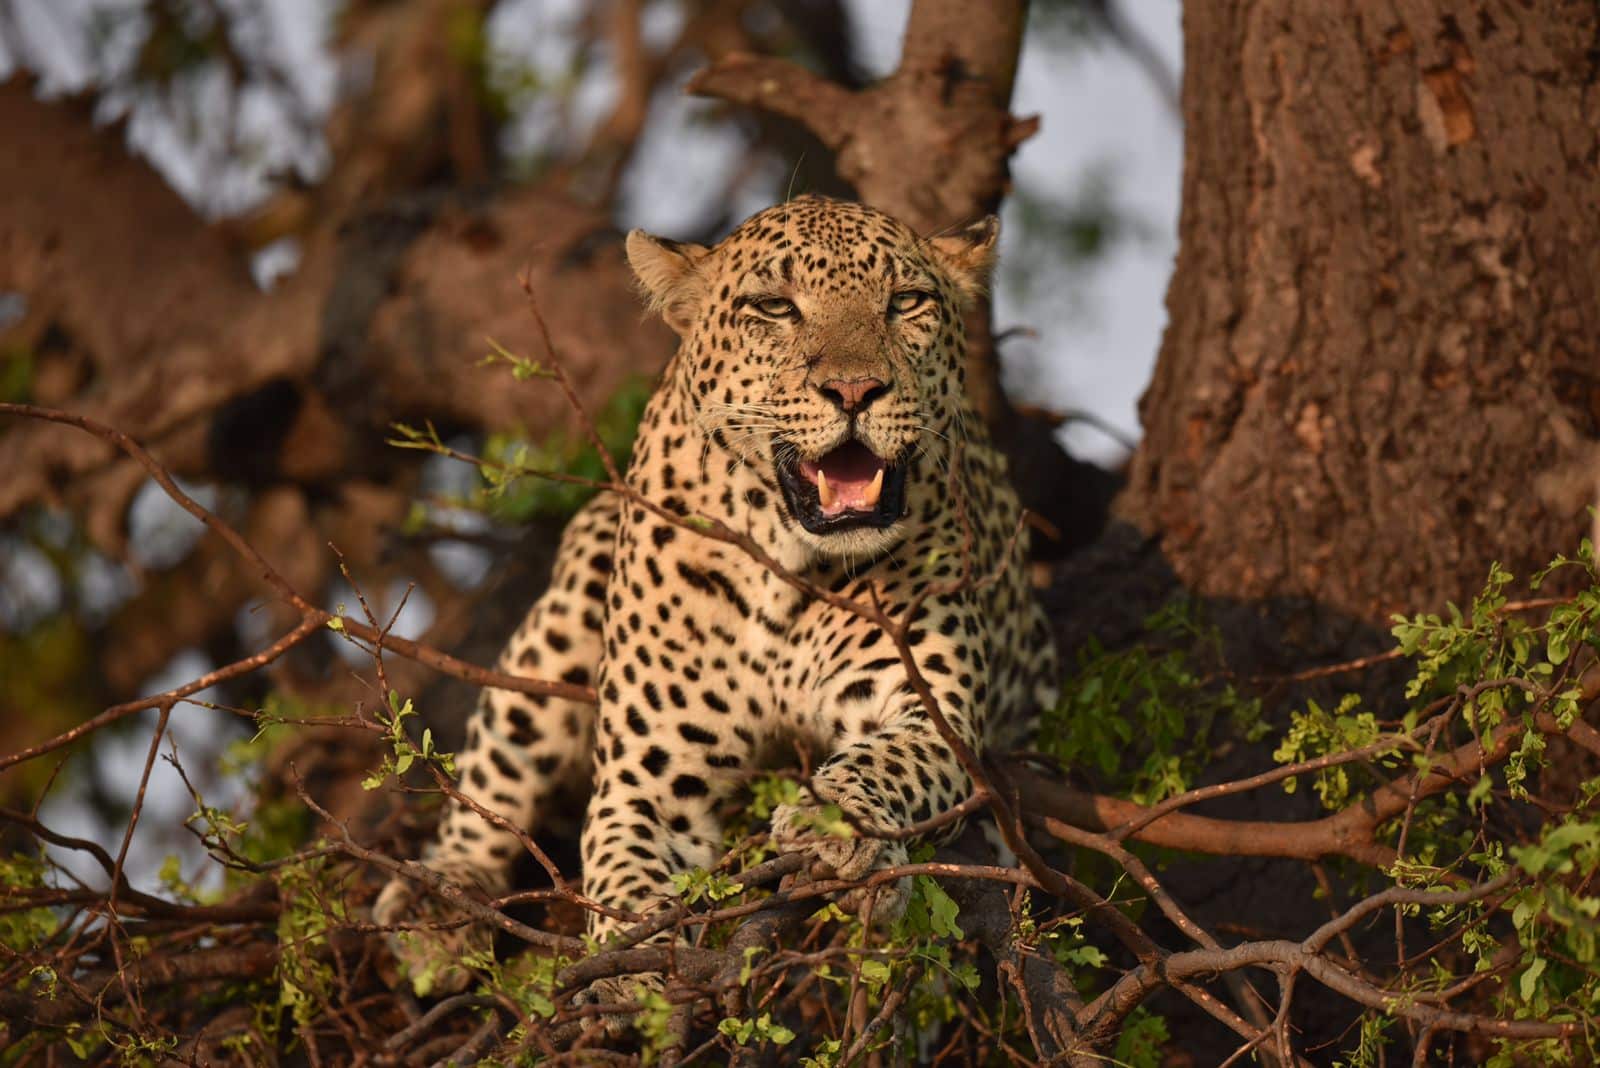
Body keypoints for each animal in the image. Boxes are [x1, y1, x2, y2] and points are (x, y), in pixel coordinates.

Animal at [373, 194, 1059, 1001]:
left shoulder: (933, 713)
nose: (855, 391)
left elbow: (889, 762)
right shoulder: (647, 782)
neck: (789, 566)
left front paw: (837, 829)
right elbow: (624, 874)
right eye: (775, 307)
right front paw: (634, 967)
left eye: (906, 302)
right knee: (498, 762)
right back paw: (441, 898)